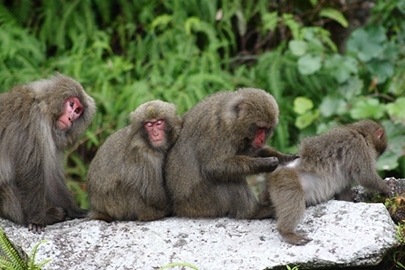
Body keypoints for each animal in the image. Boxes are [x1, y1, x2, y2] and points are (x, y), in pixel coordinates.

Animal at [0, 74, 95, 232]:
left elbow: (50, 177)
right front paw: (37, 220)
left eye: (77, 111)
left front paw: (75, 211)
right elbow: (31, 171)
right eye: (71, 104)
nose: (70, 118)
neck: (45, 109)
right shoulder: (34, 122)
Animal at [163, 88, 296, 219]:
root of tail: (179, 207)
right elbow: (214, 167)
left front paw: (285, 158)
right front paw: (265, 164)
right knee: (230, 178)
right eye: (260, 128)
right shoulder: (218, 130)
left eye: (266, 129)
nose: (262, 140)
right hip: (200, 202)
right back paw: (253, 212)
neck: (232, 121)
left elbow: (253, 152)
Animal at [260, 119, 390, 246]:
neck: (359, 132)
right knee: (294, 199)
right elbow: (365, 176)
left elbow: (344, 192)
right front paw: (387, 188)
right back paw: (287, 232)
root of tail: (276, 172)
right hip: (286, 180)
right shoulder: (358, 146)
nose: (377, 156)